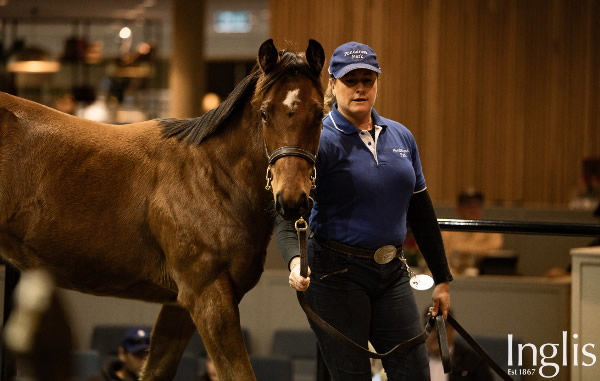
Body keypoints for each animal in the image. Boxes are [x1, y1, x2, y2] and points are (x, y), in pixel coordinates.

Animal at [0, 39, 324, 380]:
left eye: (319, 113)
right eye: (264, 113)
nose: (292, 200)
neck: (210, 176)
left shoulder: (181, 305)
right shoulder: (208, 297)